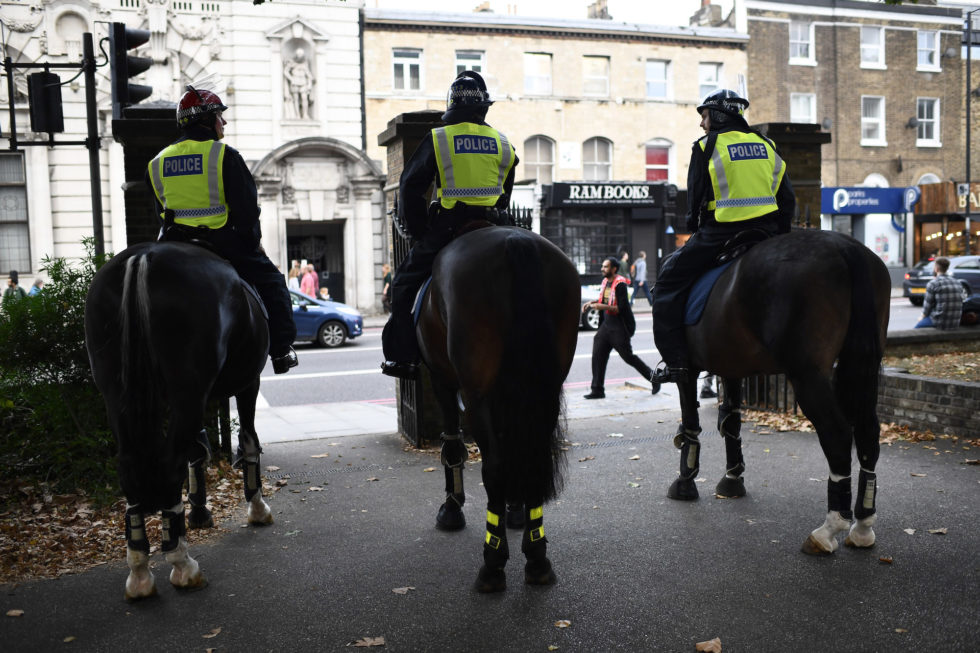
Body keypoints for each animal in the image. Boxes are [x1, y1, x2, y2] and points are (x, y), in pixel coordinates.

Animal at [84, 241, 274, 601]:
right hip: (188, 386)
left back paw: (139, 571)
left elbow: (196, 450)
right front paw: (257, 508)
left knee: (130, 469)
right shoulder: (248, 382)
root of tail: (143, 256)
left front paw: (199, 511)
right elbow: (248, 441)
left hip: (117, 392)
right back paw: (182, 564)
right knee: (170, 464)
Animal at [415, 225, 581, 592]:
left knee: (493, 466)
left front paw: (452, 508)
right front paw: (515, 508)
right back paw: (537, 556)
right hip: (545, 386)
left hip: (475, 393)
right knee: (530, 453)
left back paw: (493, 563)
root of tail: (515, 240)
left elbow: (453, 446)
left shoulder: (442, 378)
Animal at [665, 229, 891, 556]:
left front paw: (685, 481)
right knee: (868, 432)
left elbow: (691, 422)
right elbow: (731, 421)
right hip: (862, 363)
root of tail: (846, 248)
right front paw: (732, 478)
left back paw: (829, 528)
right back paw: (862, 525)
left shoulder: (688, 368)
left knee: (837, 433)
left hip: (807, 373)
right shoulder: (731, 365)